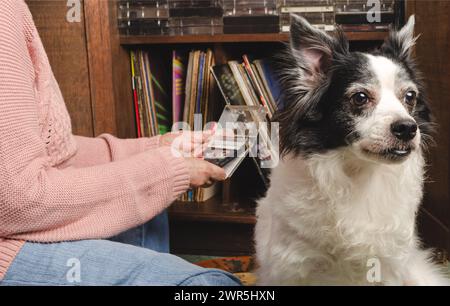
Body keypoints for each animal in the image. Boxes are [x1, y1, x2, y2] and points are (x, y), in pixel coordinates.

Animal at [255, 14, 448, 286]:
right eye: (360, 97)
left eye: (410, 96)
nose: (408, 128)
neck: (359, 174)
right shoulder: (292, 266)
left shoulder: (388, 267)